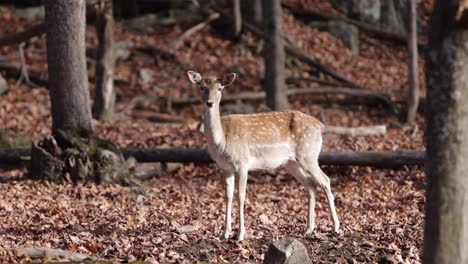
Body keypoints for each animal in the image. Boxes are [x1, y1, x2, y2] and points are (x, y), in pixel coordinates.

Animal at [186, 70, 340, 241]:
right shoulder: (225, 167)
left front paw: (240, 235)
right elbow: (227, 196)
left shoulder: (243, 163)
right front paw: (225, 234)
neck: (222, 142)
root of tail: (320, 126)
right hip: (291, 162)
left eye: (220, 88)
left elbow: (241, 196)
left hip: (308, 154)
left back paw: (335, 227)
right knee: (311, 184)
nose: (210, 103)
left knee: (325, 180)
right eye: (201, 87)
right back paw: (308, 229)